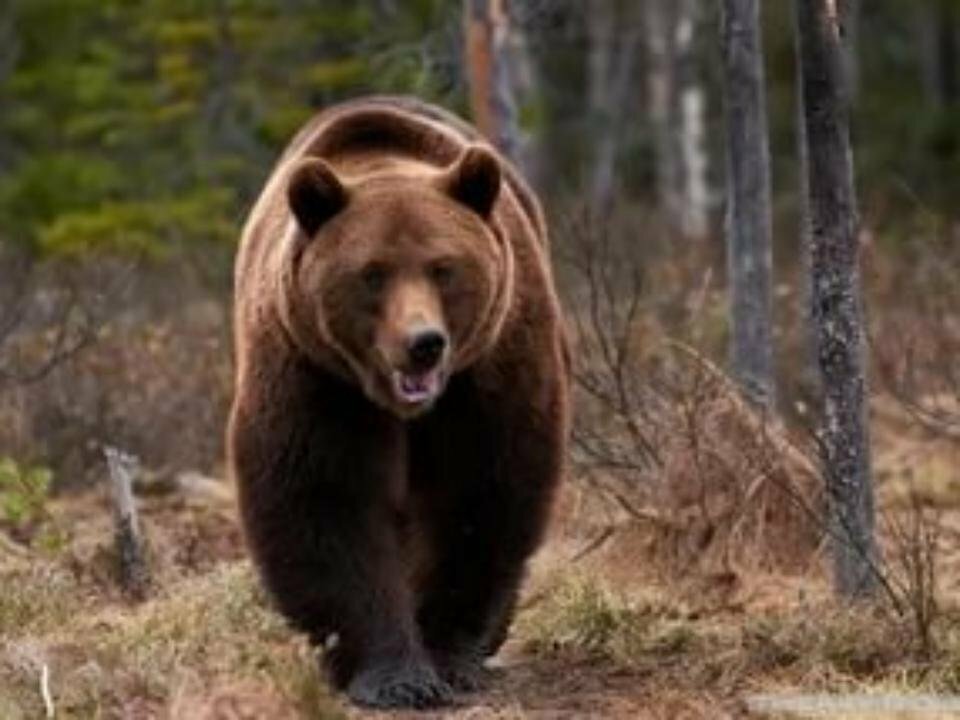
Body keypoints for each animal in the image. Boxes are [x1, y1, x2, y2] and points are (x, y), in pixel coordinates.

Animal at [227, 96, 570, 709]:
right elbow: (327, 502)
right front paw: (393, 675)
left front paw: (447, 655)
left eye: (443, 267)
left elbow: (479, 493)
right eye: (372, 273)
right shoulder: (315, 375)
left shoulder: (487, 371)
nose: (423, 343)